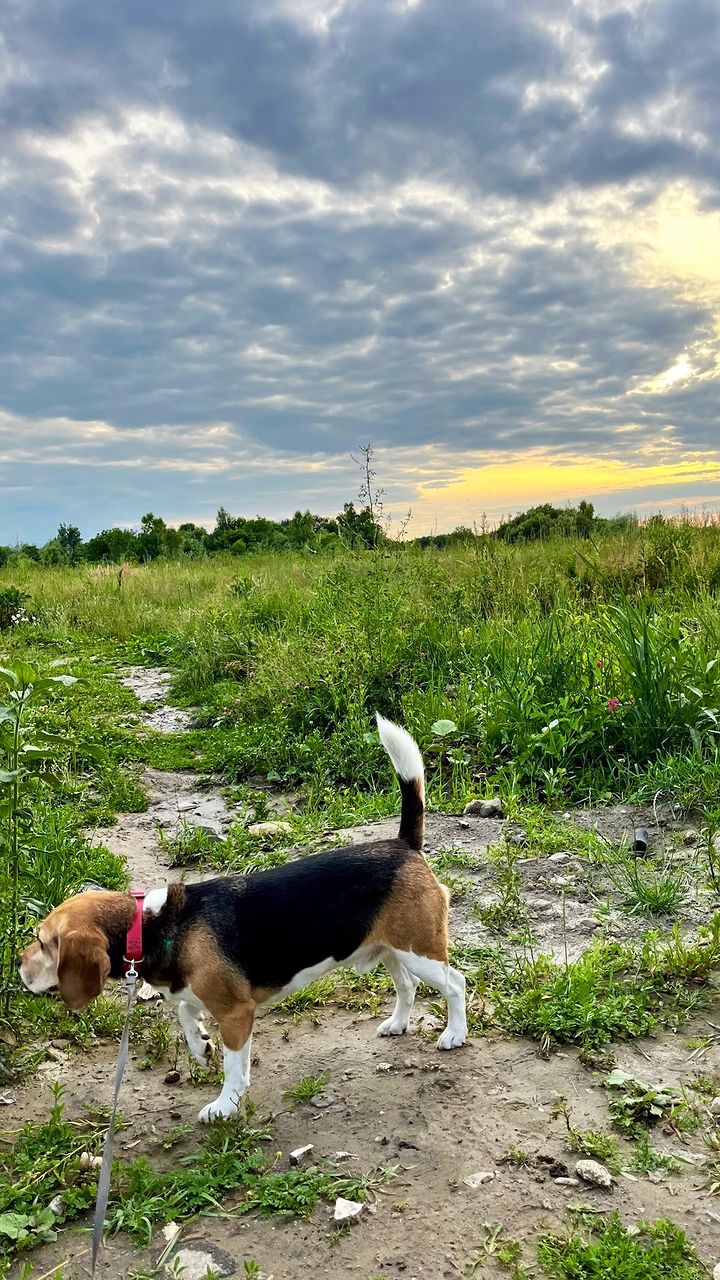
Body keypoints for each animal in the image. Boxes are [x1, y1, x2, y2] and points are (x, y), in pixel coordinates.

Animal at [19, 716, 466, 1126]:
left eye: (42, 943)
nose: (17, 966)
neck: (157, 923)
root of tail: (404, 845)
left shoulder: (237, 1013)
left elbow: (234, 1067)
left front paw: (224, 1106)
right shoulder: (195, 993)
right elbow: (185, 1013)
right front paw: (200, 1046)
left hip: (420, 949)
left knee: (456, 984)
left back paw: (454, 1034)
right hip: (391, 949)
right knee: (407, 985)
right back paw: (398, 1023)